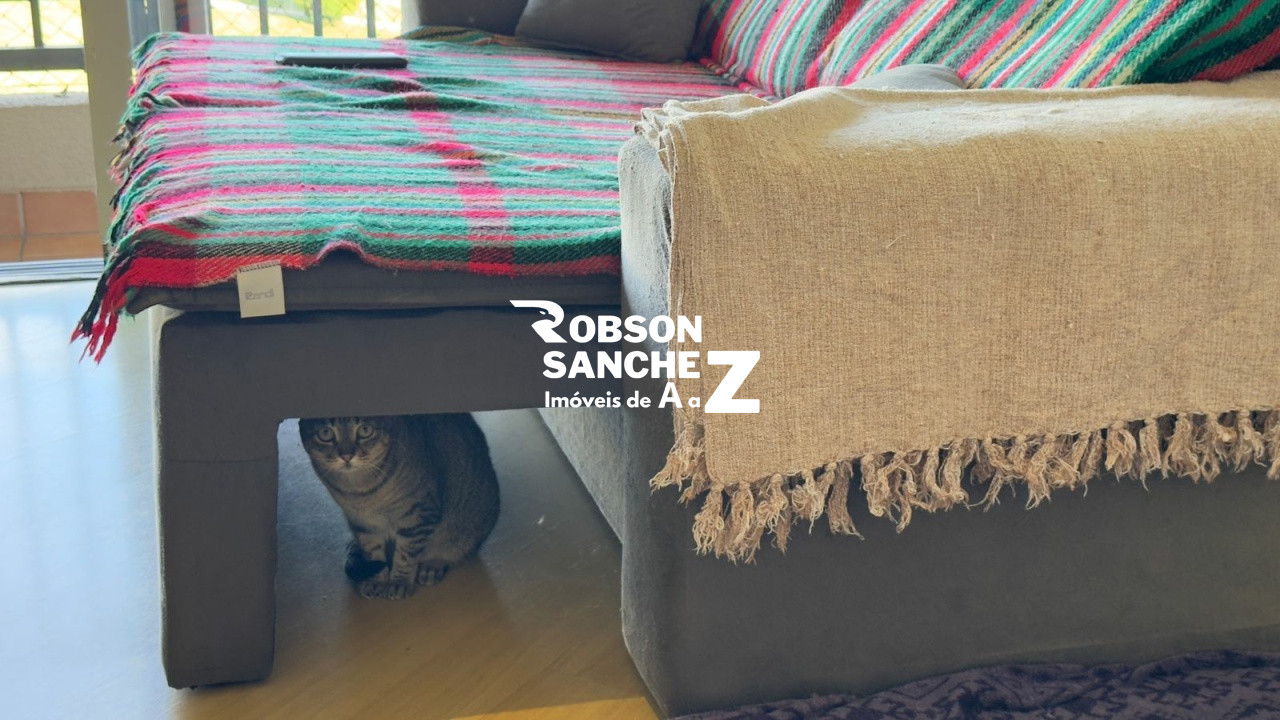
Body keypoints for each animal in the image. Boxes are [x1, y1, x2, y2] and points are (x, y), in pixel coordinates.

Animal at [299, 413, 500, 600]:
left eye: (364, 430)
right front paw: (377, 581)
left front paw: (398, 583)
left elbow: (406, 555)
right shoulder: (363, 524)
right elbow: (373, 552)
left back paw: (432, 565)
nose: (347, 455)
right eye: (325, 433)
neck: (360, 492)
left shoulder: (417, 517)